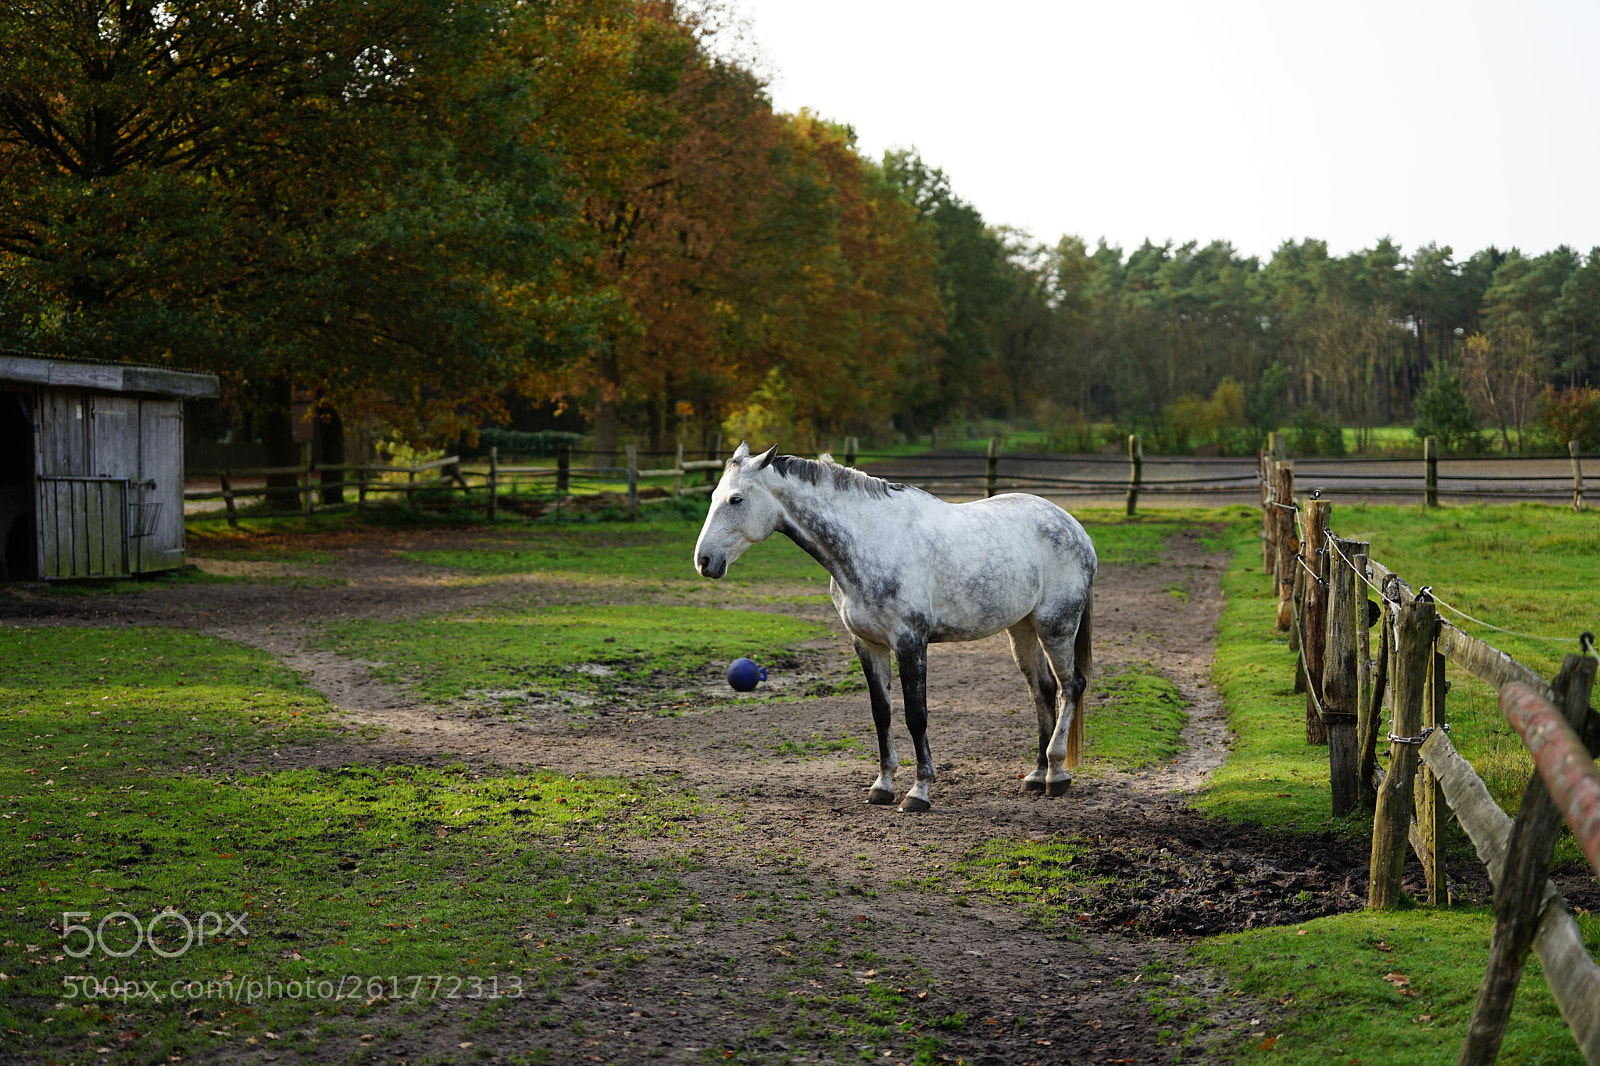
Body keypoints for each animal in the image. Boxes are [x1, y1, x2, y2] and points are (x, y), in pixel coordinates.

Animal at [693, 441, 1096, 813]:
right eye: (712, 497)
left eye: (736, 499)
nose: (704, 561)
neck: (870, 539)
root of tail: (1074, 526)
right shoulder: (867, 644)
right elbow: (881, 713)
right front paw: (882, 786)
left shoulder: (910, 642)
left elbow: (916, 716)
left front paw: (919, 791)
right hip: (1022, 629)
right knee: (1042, 690)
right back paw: (1036, 775)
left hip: (1055, 626)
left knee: (1071, 686)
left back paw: (1057, 775)